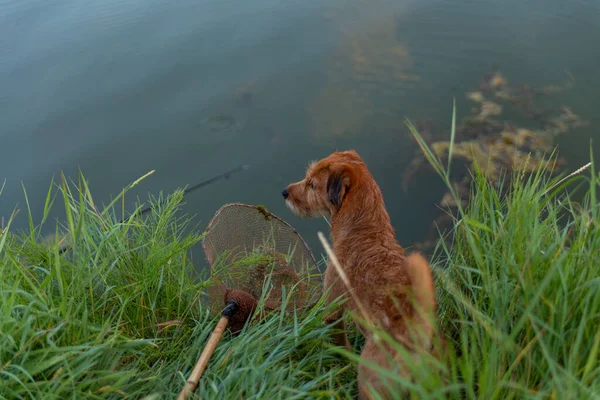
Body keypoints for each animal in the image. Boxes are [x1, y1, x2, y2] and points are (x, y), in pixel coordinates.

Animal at [282, 151, 436, 400]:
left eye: (312, 184)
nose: (285, 192)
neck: (364, 228)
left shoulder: (332, 308)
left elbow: (339, 341)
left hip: (368, 379)